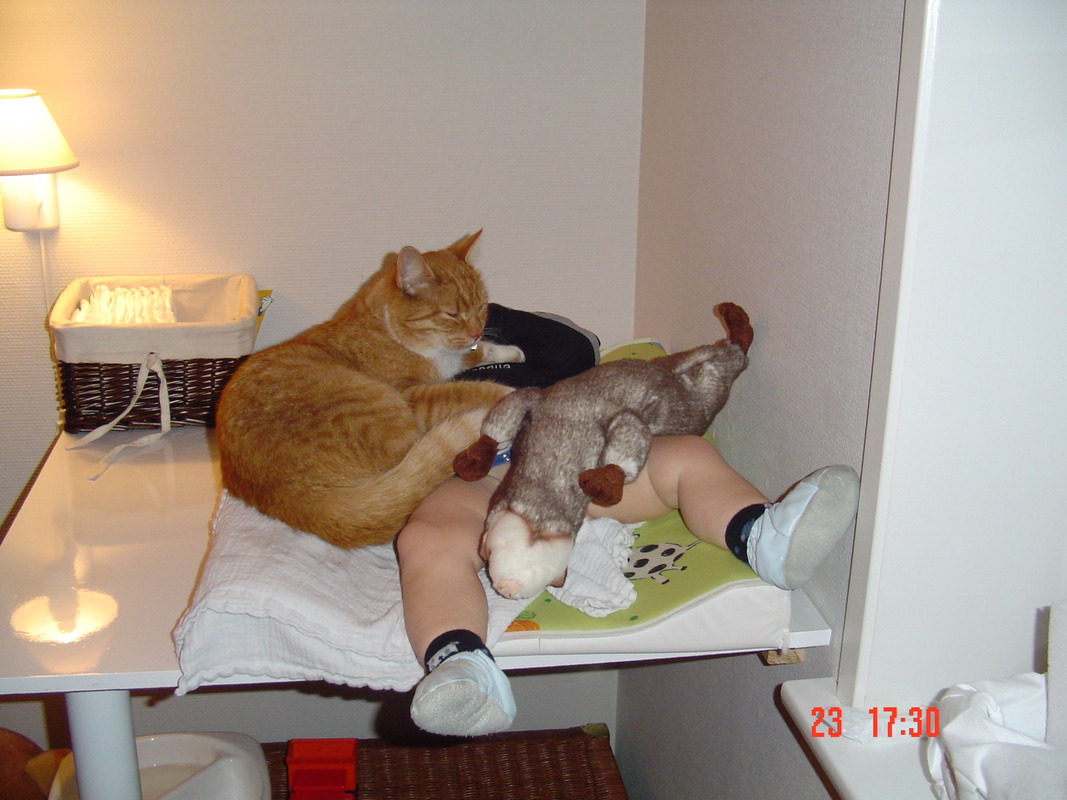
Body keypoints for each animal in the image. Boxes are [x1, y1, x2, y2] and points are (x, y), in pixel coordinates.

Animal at [217, 231, 524, 548]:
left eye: (481, 307)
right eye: (452, 314)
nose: (476, 332)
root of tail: (294, 500)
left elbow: (477, 353)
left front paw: (508, 352)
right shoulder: (414, 396)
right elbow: (469, 389)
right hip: (380, 404)